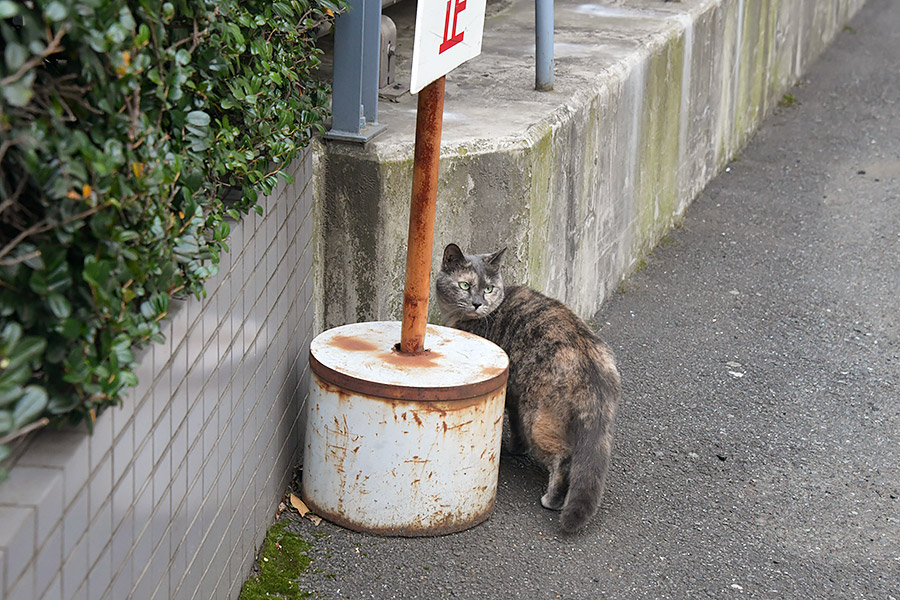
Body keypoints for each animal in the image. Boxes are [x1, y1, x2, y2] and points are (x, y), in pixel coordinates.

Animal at [434, 241, 620, 532]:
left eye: (489, 288)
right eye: (465, 285)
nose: (477, 303)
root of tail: (590, 361)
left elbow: (516, 422)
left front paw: (514, 448)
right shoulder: (513, 393)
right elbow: (515, 421)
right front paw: (516, 448)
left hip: (540, 418)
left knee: (563, 460)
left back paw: (552, 500)